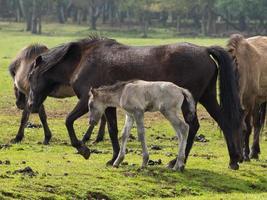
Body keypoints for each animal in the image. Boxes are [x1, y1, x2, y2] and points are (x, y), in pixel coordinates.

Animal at [26, 35, 243, 169]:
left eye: (30, 77)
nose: (30, 105)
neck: (82, 60)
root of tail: (204, 50)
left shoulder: (86, 100)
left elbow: (69, 120)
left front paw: (83, 149)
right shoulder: (109, 105)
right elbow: (113, 130)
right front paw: (114, 158)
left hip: (192, 102)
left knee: (191, 126)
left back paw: (178, 162)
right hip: (207, 97)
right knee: (222, 122)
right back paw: (233, 160)